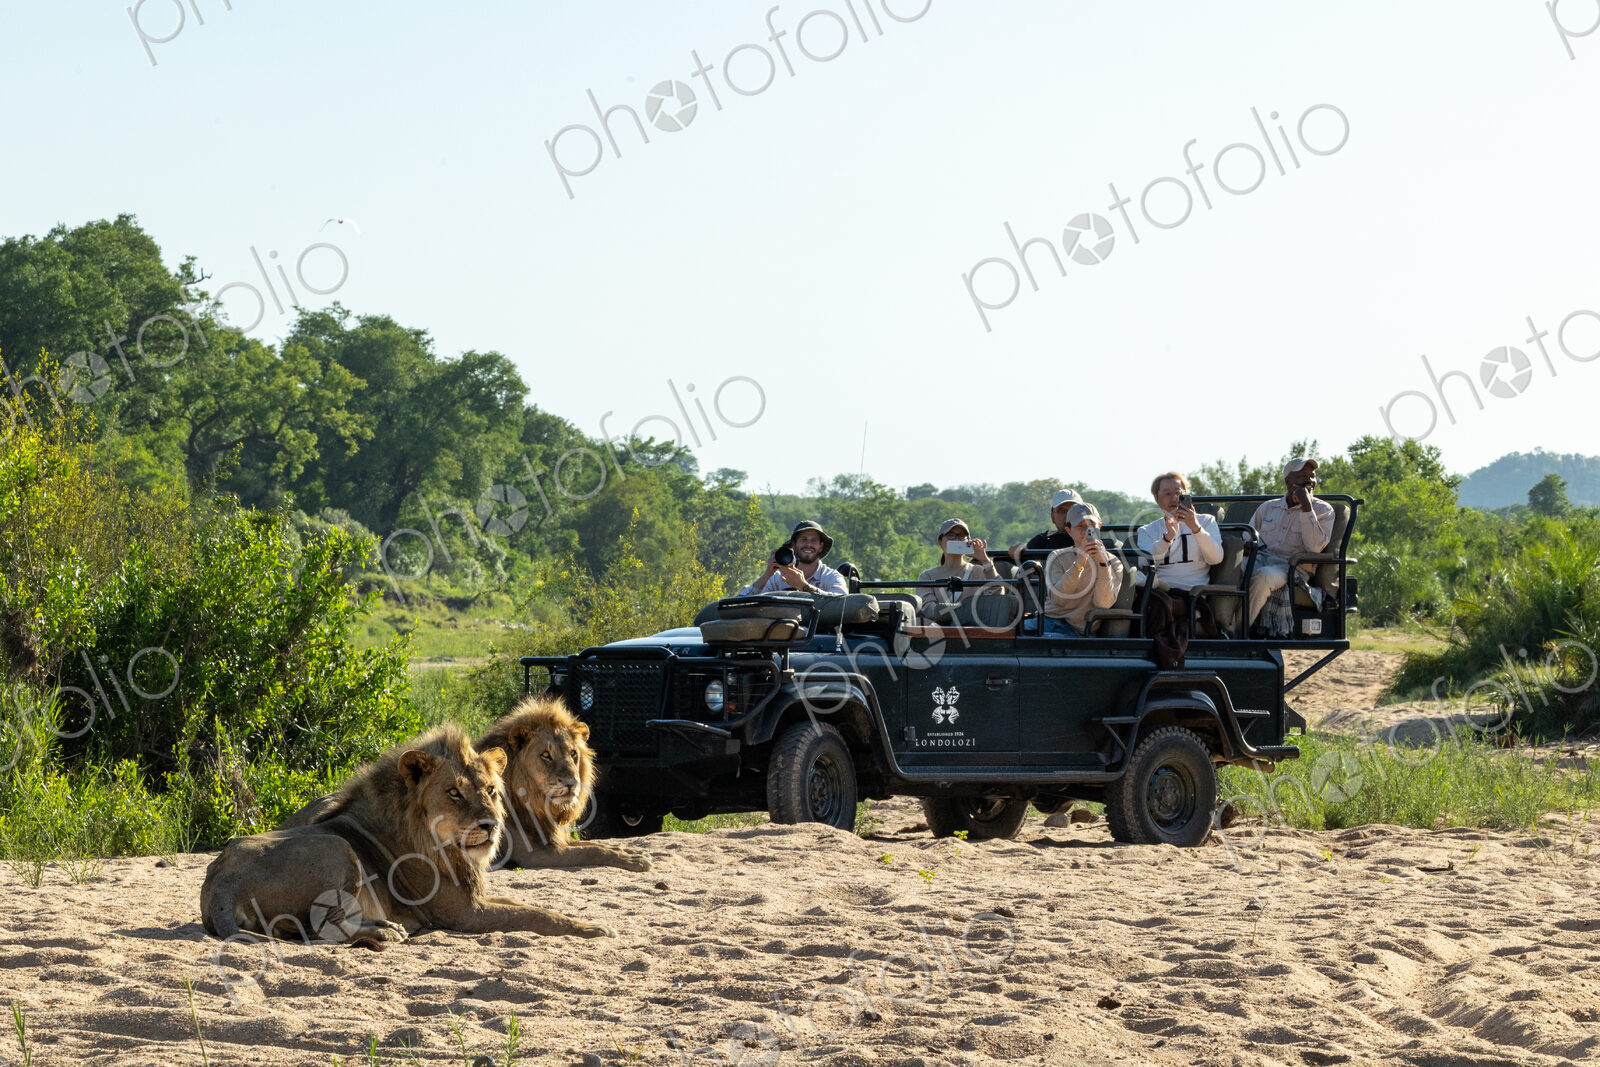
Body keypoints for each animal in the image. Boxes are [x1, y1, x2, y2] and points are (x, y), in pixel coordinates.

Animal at [201, 725, 614, 946]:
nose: (491, 825)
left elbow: (533, 907)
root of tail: (220, 883)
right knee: (324, 927)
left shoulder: (475, 898)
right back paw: (387, 931)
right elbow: (539, 916)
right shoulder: (464, 912)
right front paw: (594, 928)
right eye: (454, 792)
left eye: (491, 791)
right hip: (336, 847)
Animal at [475, 692, 652, 873]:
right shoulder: (533, 854)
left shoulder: (558, 839)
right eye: (546, 755)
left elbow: (595, 844)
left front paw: (629, 851)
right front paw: (633, 859)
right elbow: (590, 851)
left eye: (573, 753)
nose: (571, 782)